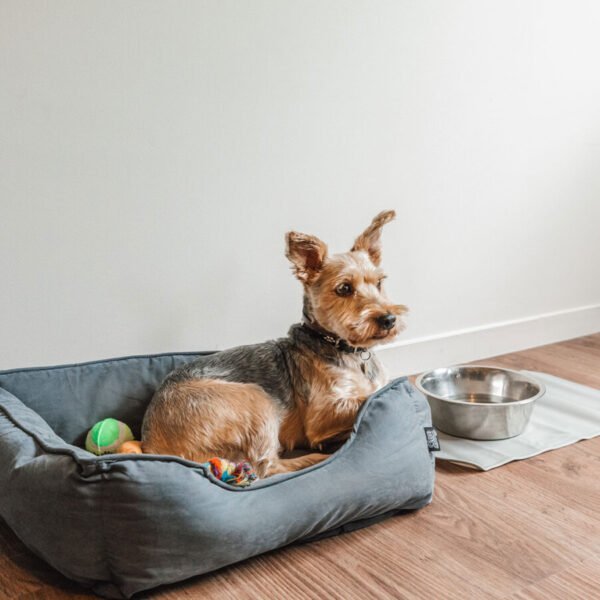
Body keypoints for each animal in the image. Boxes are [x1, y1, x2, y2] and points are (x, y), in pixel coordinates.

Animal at [119, 211, 406, 478]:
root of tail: (152, 444)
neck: (344, 349)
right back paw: (317, 459)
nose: (389, 319)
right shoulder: (322, 416)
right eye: (344, 288)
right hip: (256, 398)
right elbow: (365, 398)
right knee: (265, 467)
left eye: (380, 282)